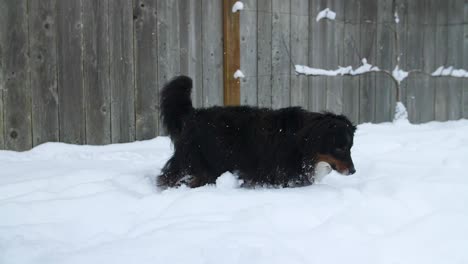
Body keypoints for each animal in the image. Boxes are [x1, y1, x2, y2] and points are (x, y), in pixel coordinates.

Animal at [157, 75, 354, 189]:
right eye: (340, 148)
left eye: (350, 147)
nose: (353, 171)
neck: (302, 140)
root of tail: (193, 114)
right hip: (198, 162)